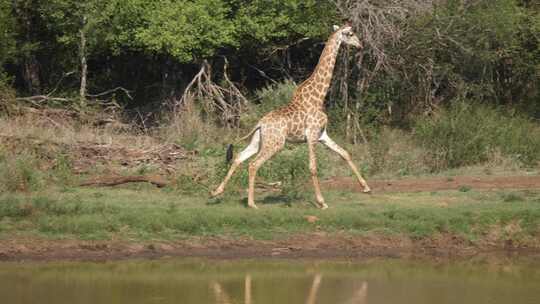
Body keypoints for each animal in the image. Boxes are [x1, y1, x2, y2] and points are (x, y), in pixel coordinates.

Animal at [211, 23, 372, 209]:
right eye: (351, 34)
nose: (360, 45)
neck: (318, 97)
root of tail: (260, 123)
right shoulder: (311, 135)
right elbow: (313, 167)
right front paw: (322, 202)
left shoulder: (322, 135)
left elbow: (345, 153)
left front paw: (366, 187)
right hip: (276, 144)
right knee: (253, 164)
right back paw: (251, 203)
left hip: (259, 141)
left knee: (238, 158)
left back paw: (216, 191)